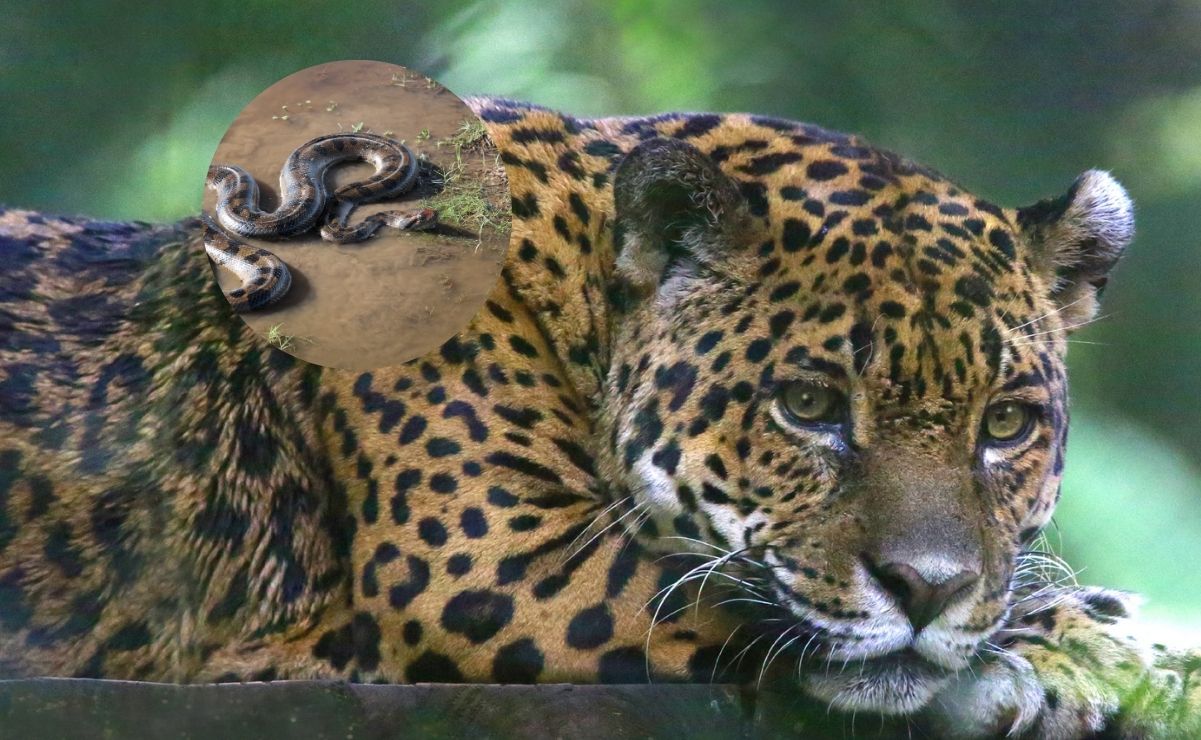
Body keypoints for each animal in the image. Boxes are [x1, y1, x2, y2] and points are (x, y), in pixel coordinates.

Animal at [0, 97, 1197, 738]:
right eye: (808, 406)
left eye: (1005, 425)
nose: (929, 587)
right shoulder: (487, 561)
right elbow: (713, 593)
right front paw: (1093, 644)